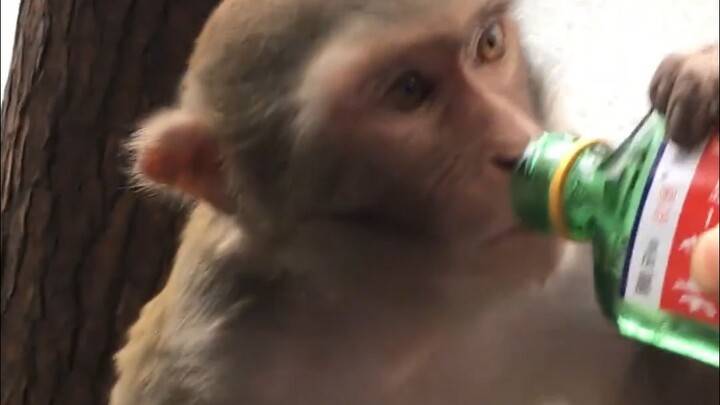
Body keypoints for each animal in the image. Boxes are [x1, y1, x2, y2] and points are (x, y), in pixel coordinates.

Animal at [109, 0, 720, 404]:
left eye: (489, 44)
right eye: (407, 91)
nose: (514, 148)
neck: (413, 320)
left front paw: (705, 81)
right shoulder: (202, 359)